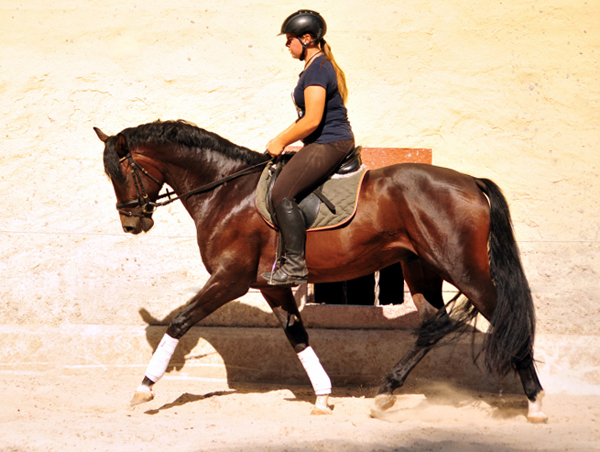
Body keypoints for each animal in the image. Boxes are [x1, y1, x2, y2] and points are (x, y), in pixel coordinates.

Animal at [94, 118, 548, 422]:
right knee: (434, 324)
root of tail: (470, 181)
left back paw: (536, 402)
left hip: (462, 269)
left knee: (506, 317)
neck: (226, 190)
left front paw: (144, 388)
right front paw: (324, 397)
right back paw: (385, 393)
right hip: (421, 268)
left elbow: (180, 322)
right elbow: (297, 337)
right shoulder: (271, 286)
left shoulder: (230, 279)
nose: (132, 223)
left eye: (121, 172)